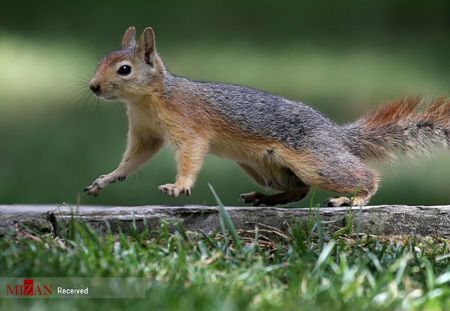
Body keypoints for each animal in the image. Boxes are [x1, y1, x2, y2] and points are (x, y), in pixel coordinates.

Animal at [84, 26, 450, 207]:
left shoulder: (188, 126)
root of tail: (334, 134)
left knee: (363, 175)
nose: (93, 87)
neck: (147, 101)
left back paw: (355, 200)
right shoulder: (145, 133)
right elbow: (133, 160)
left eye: (125, 69)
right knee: (298, 190)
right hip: (264, 168)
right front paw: (107, 178)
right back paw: (264, 197)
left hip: (315, 160)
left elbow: (190, 155)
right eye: (101, 60)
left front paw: (179, 185)